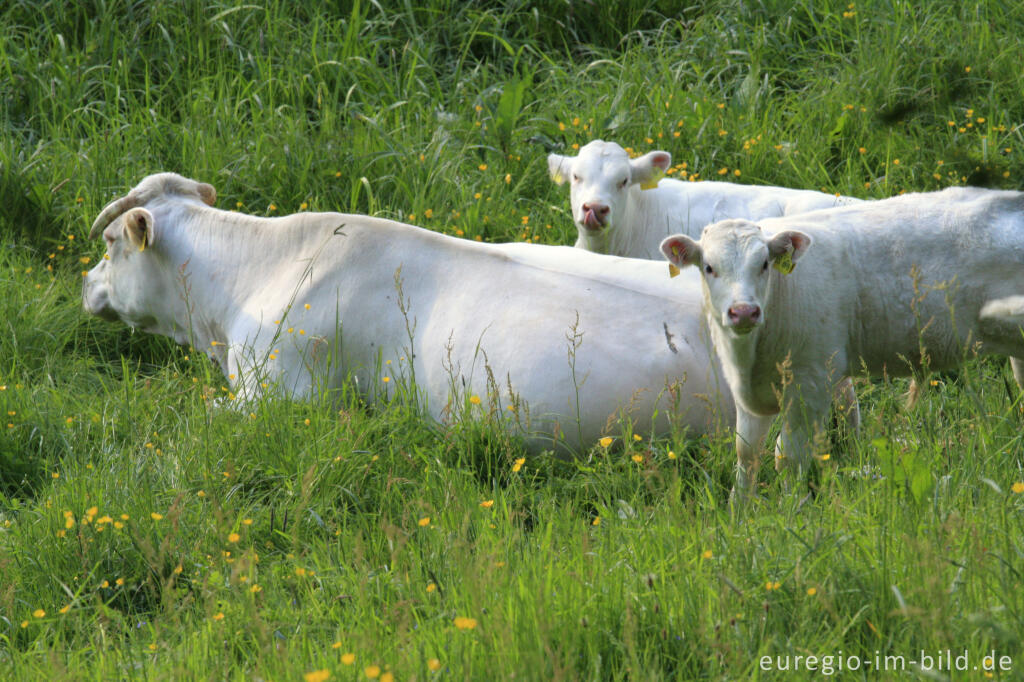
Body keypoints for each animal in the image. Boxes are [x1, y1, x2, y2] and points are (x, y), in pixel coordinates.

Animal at [659, 186, 1024, 493]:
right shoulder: (748, 393)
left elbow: (789, 456)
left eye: (764, 264)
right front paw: (740, 514)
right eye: (709, 267)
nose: (744, 311)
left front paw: (790, 511)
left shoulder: (810, 383)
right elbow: (746, 453)